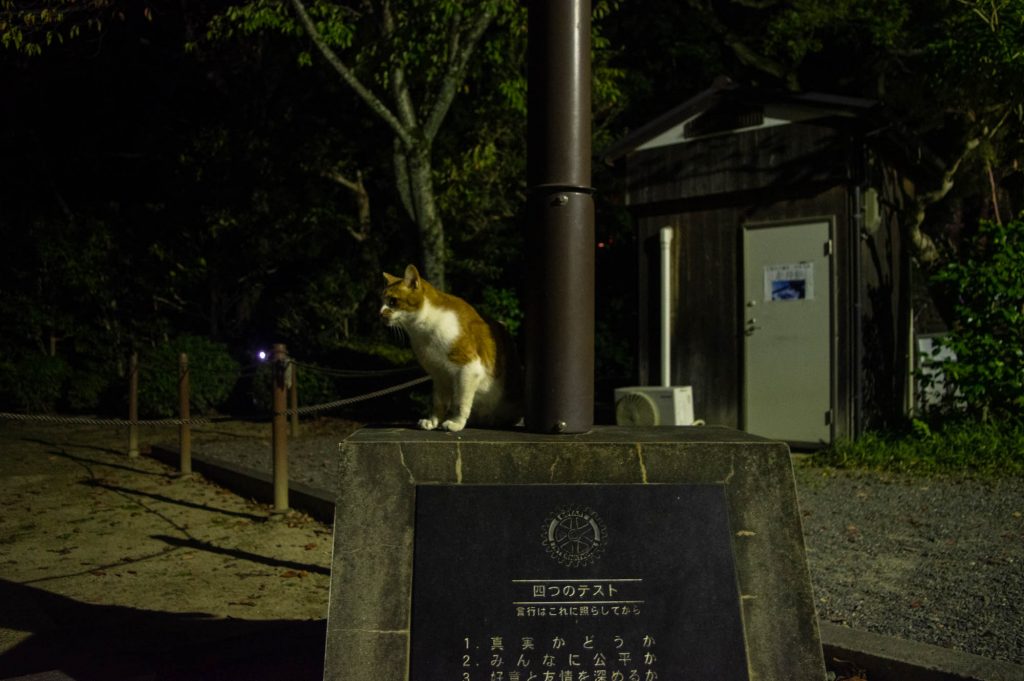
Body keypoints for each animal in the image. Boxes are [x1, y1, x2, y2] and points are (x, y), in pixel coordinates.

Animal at [380, 264, 523, 432]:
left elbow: (460, 402)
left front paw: (456, 423)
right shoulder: (439, 374)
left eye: (392, 301)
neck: (423, 331)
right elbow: (439, 402)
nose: (380, 313)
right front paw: (433, 421)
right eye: (382, 301)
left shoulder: (469, 368)